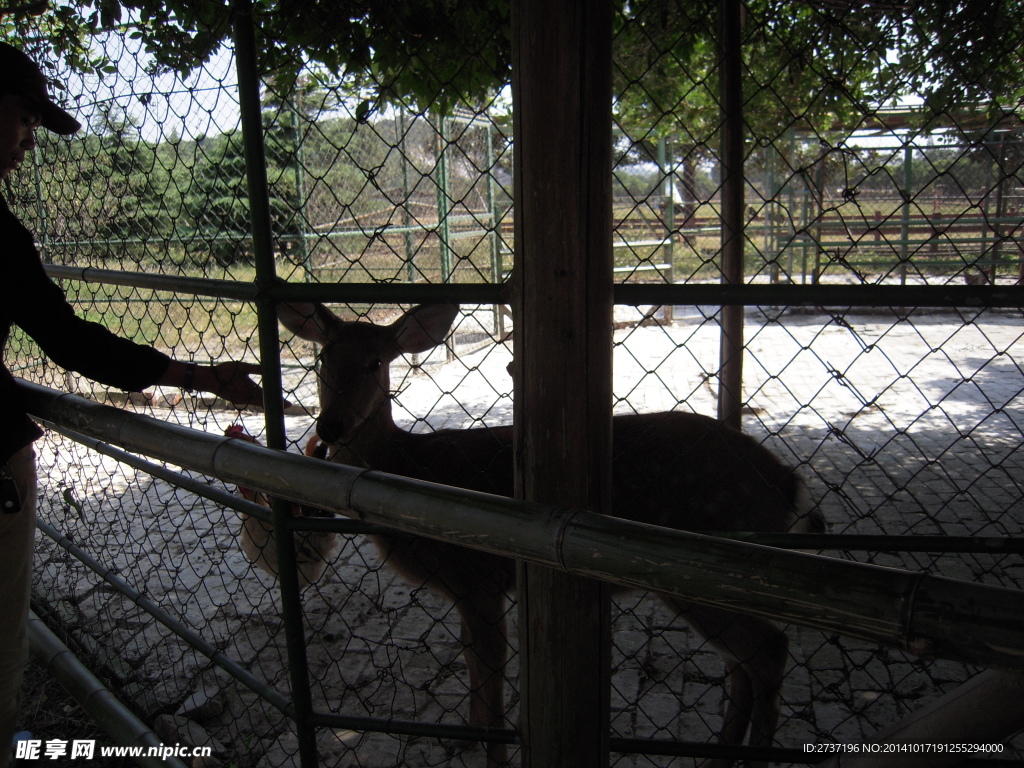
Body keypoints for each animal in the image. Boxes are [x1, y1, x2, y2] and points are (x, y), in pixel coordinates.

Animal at [274, 303, 823, 768]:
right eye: (322, 359)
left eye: (374, 362)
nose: (331, 426)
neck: (410, 468)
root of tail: (789, 483)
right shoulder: (469, 589)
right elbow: (471, 661)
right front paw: (467, 740)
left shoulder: (478, 577)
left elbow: (491, 666)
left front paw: (494, 754)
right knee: (742, 663)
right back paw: (717, 760)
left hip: (706, 566)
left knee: (768, 650)